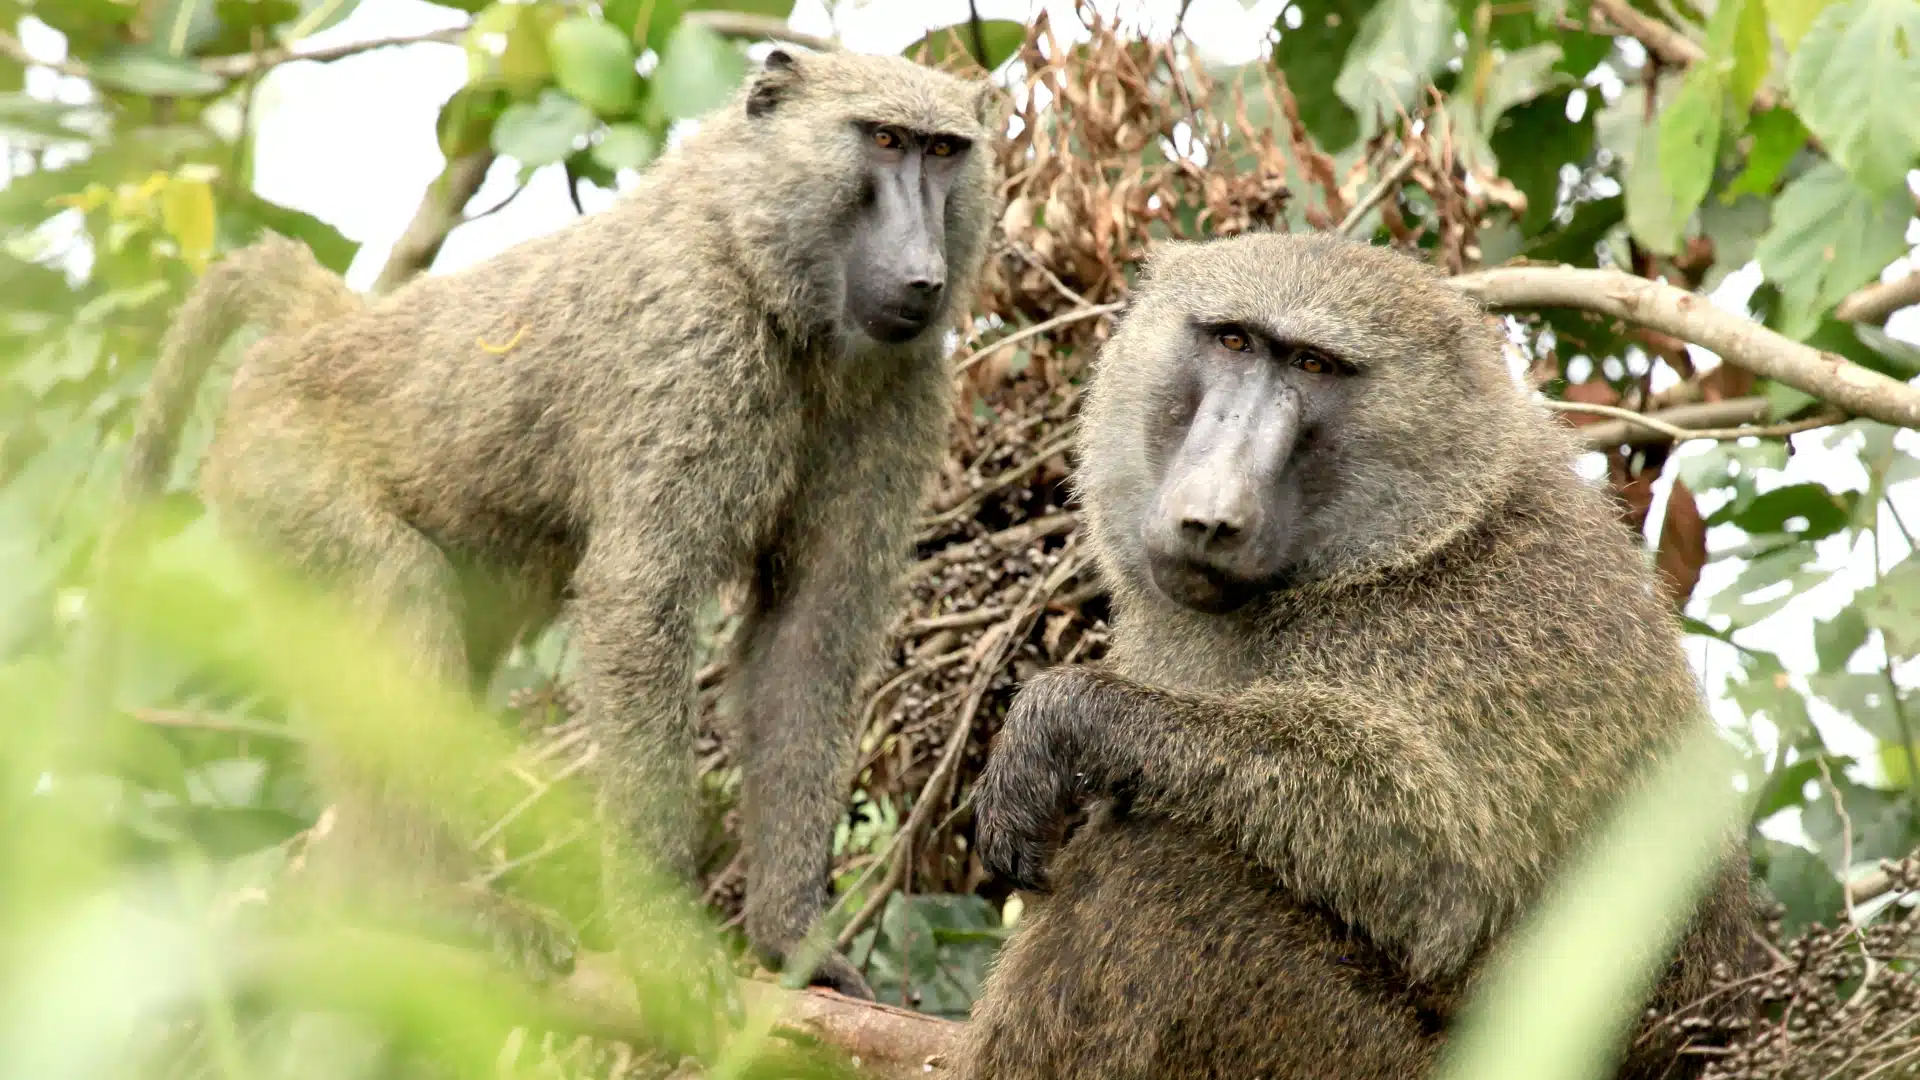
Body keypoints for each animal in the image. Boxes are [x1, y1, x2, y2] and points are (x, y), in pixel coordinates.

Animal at [107, 47, 1003, 1001]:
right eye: (882, 140)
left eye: (945, 151)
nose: (923, 276)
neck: (756, 260)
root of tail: (329, 328)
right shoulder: (691, 345)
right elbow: (638, 600)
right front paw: (664, 942)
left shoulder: (902, 389)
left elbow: (809, 633)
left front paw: (791, 940)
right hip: (276, 471)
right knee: (402, 593)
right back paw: (427, 904)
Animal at [955, 232, 1762, 1079]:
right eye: (1235, 342)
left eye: (1314, 366)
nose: (1209, 518)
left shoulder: (1478, 642)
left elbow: (1441, 881)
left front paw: (1063, 720)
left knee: (1157, 876)